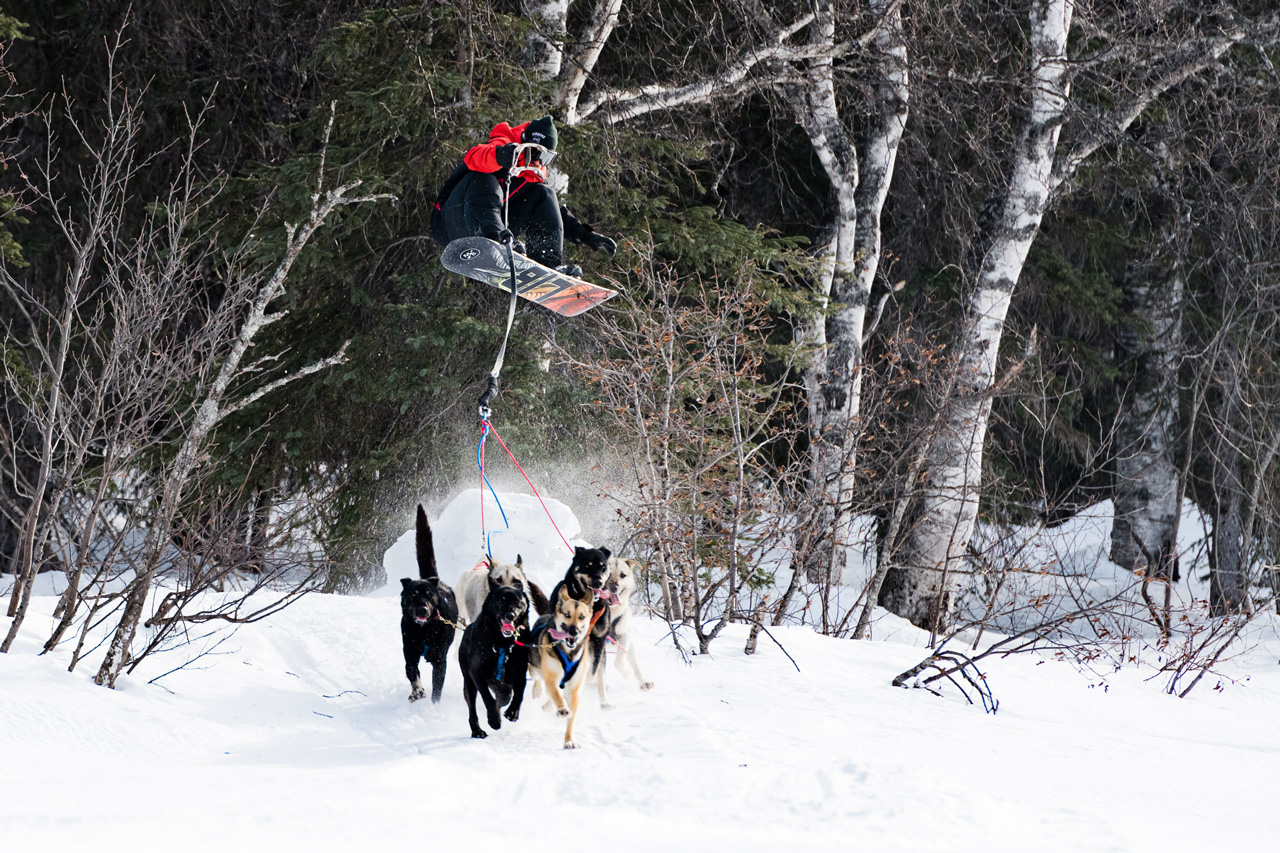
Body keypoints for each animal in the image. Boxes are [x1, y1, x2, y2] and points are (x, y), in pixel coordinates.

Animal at [401, 502, 463, 701]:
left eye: (429, 595)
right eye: (413, 595)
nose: (422, 609)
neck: (424, 632)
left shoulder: (439, 660)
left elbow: (437, 688)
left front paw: (434, 705)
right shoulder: (410, 652)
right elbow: (411, 671)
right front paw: (417, 690)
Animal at [460, 578, 529, 737]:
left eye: (518, 602)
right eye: (500, 601)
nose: (510, 615)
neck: (502, 642)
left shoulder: (520, 672)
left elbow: (520, 693)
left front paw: (512, 712)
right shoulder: (476, 673)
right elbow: (488, 698)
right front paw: (494, 719)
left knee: (505, 696)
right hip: (469, 683)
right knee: (472, 709)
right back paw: (477, 731)